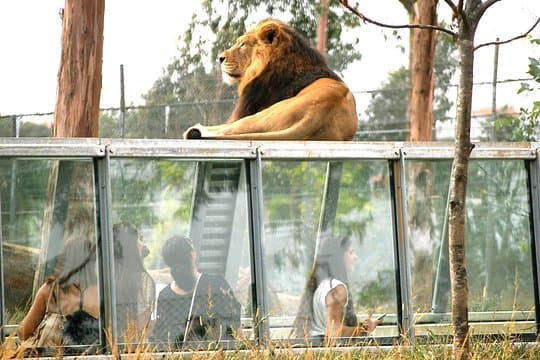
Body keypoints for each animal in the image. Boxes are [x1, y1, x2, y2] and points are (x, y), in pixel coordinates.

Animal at [185, 19, 358, 141]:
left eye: (242, 44)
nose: (220, 58)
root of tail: (320, 113)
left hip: (263, 115)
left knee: (226, 130)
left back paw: (195, 130)